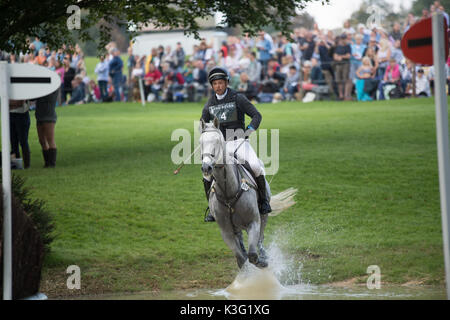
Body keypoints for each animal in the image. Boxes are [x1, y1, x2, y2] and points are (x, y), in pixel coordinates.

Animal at [200, 119, 298, 268]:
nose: (206, 167)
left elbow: (253, 255)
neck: (229, 193)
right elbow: (242, 258)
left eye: (217, 141)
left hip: (263, 216)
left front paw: (262, 261)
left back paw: (263, 254)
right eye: (200, 142)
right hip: (237, 228)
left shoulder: (253, 222)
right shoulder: (226, 231)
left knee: (260, 238)